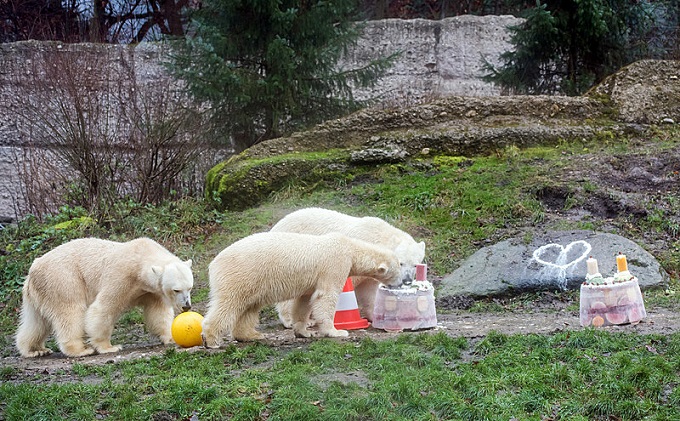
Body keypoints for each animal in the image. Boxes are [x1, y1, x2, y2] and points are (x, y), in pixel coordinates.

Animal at [14, 238, 194, 356]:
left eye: (190, 287)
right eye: (176, 290)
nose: (187, 306)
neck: (140, 257)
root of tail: (32, 270)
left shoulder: (151, 290)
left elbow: (158, 312)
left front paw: (170, 337)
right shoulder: (121, 276)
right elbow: (104, 308)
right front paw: (108, 347)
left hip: (39, 293)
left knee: (37, 321)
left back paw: (35, 350)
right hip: (63, 280)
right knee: (70, 312)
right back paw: (80, 350)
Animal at [199, 230, 406, 344]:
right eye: (399, 266)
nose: (403, 282)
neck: (350, 247)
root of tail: (213, 263)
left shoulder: (311, 281)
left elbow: (304, 301)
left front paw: (304, 332)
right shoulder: (335, 264)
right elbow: (326, 296)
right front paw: (336, 331)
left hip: (252, 282)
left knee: (249, 307)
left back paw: (252, 335)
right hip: (241, 274)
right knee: (229, 303)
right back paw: (210, 339)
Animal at [270, 208, 424, 324]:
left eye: (415, 265)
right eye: (401, 262)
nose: (407, 280)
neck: (379, 237)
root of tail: (275, 226)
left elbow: (369, 289)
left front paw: (374, 315)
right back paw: (291, 319)